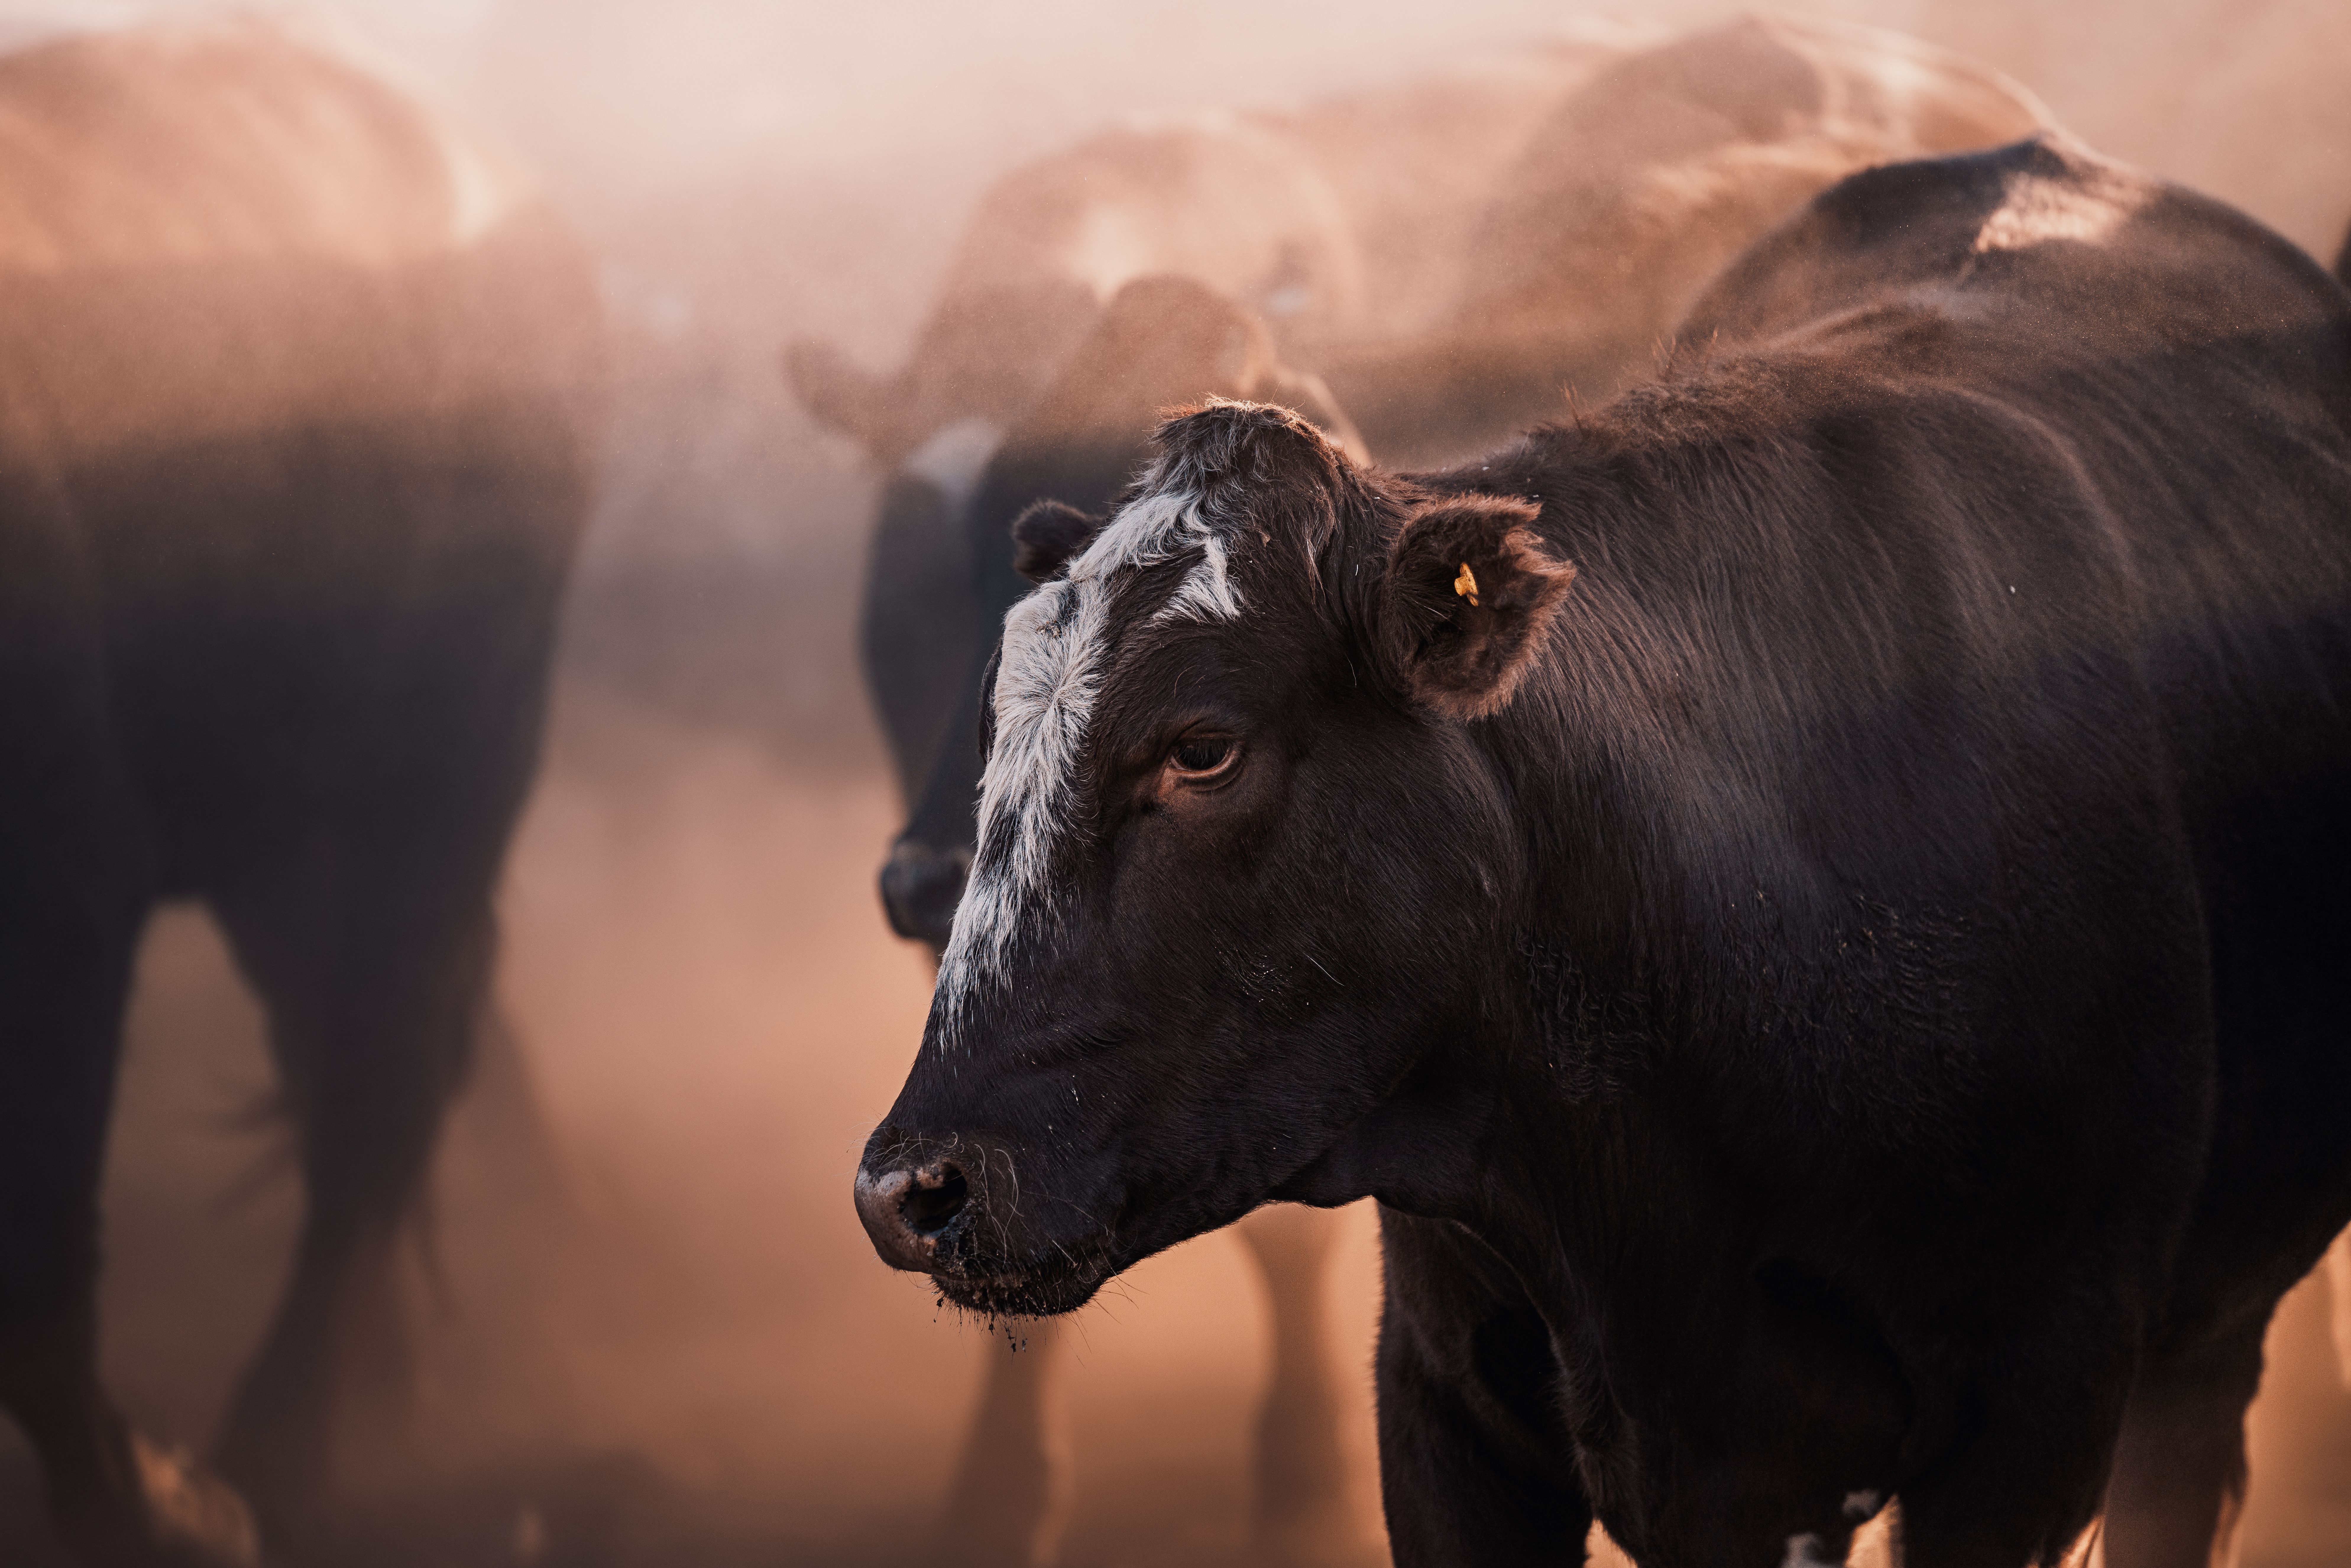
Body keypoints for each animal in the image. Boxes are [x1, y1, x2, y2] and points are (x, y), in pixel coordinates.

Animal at [0, 17, 599, 1566]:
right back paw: (378, 1381)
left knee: (375, 1086)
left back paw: (283, 1447)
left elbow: (34, 1250)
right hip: (282, 835)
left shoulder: (63, 883)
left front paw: (151, 1506)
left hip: (450, 762)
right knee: (329, 1047)